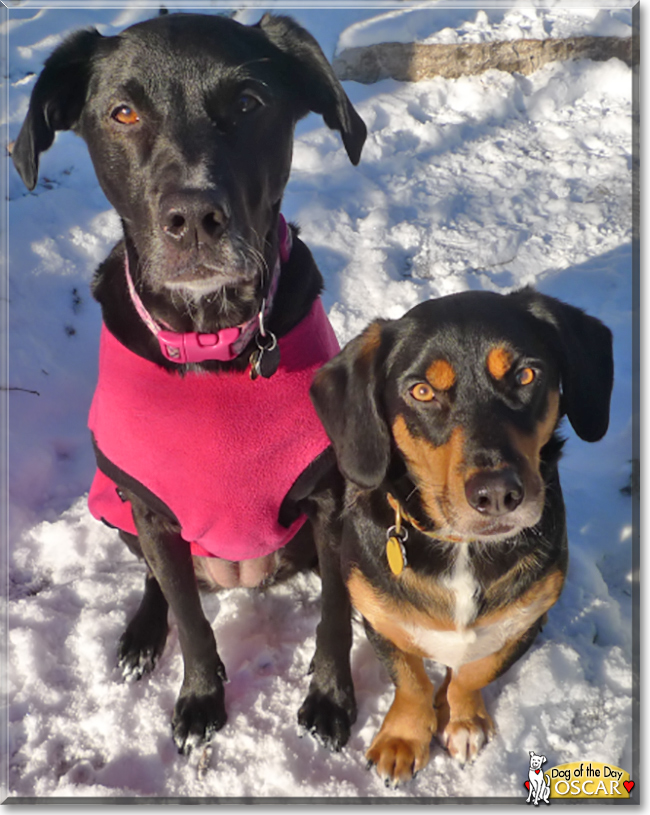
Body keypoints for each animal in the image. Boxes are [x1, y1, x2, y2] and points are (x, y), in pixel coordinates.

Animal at [12, 12, 364, 756]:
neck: (215, 345)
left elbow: (335, 612)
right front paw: (201, 698)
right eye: (123, 111)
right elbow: (192, 618)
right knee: (156, 581)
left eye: (249, 103)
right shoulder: (150, 508)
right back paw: (142, 636)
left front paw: (330, 696)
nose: (194, 218)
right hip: (117, 506)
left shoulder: (328, 501)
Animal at [298, 290, 612, 788]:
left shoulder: (524, 620)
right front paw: (404, 738)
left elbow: (474, 672)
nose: (498, 494)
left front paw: (461, 718)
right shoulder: (381, 618)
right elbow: (411, 682)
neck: (462, 547)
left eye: (526, 375)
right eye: (422, 391)